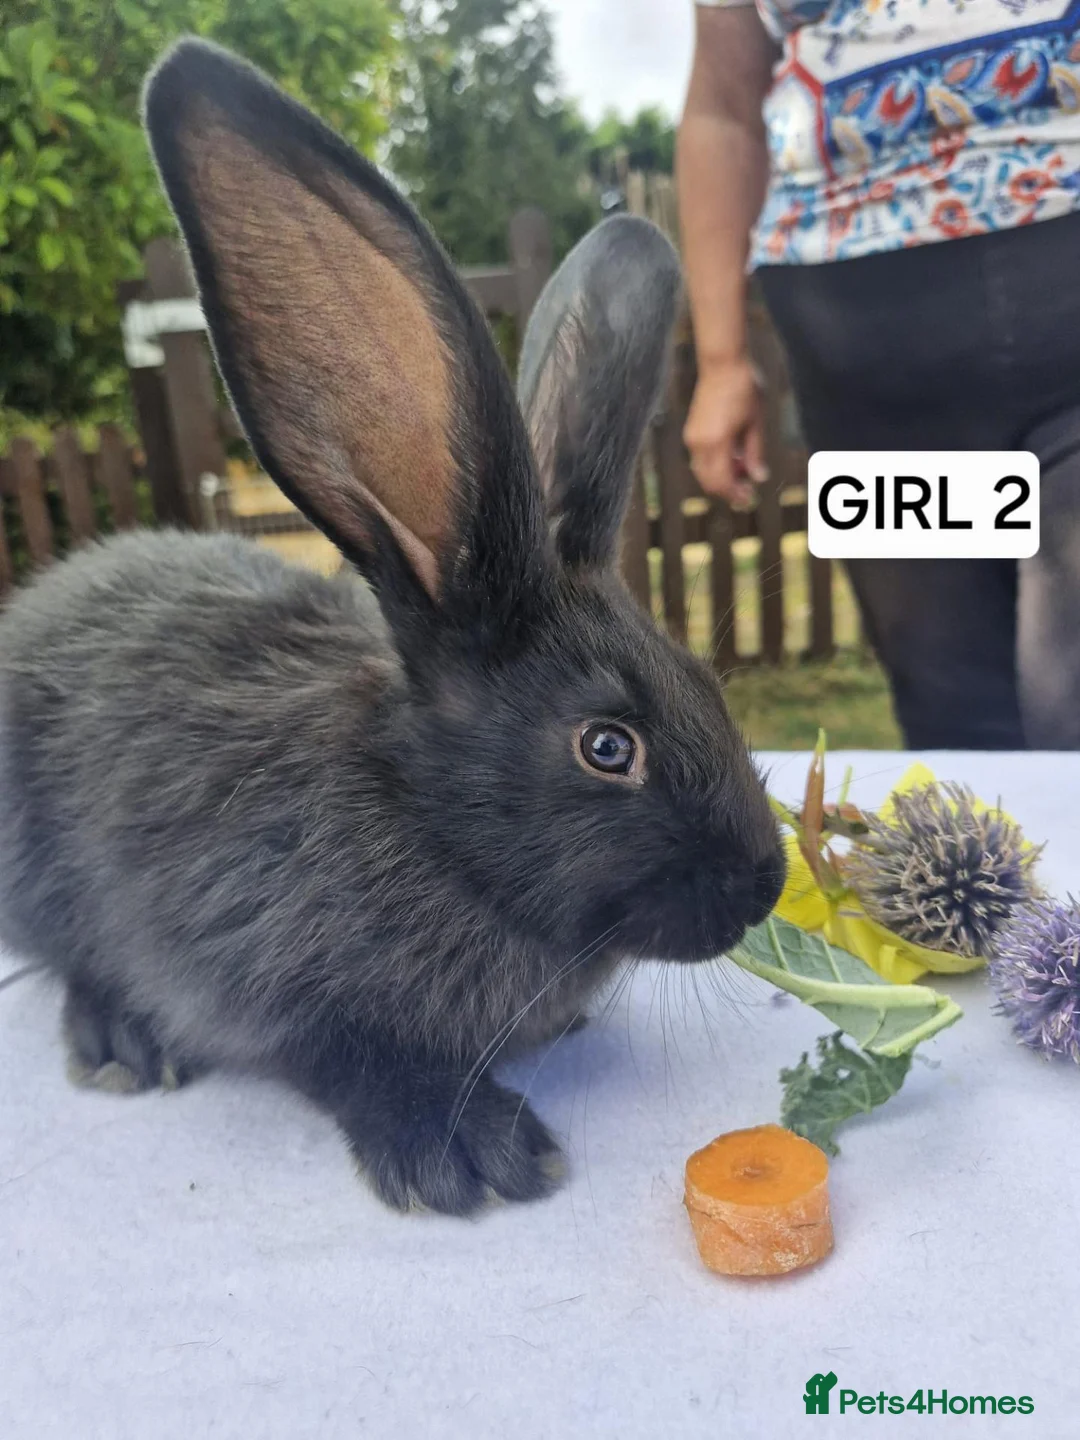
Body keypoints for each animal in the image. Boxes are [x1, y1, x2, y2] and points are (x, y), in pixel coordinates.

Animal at [0, 39, 785, 1217]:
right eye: (608, 747)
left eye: (706, 682)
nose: (765, 885)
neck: (423, 819)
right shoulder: (258, 968)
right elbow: (343, 1055)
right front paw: (471, 1152)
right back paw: (118, 1038)